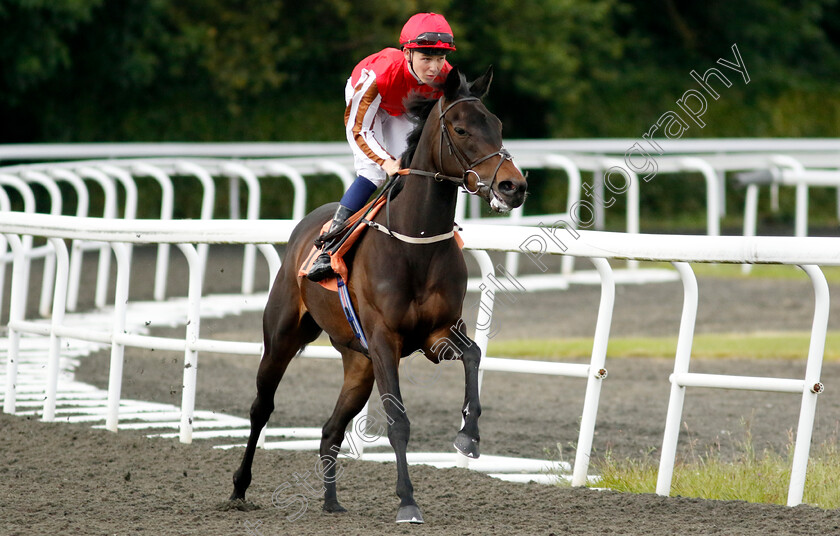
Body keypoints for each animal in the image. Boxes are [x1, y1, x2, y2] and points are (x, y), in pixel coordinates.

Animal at [230, 67, 528, 524]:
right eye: (461, 129)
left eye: (497, 126)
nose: (514, 186)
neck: (416, 242)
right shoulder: (386, 339)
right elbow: (398, 422)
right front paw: (407, 501)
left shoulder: (438, 333)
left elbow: (474, 355)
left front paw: (469, 436)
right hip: (281, 338)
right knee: (261, 407)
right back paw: (239, 488)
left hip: (359, 363)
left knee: (330, 429)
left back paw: (331, 501)